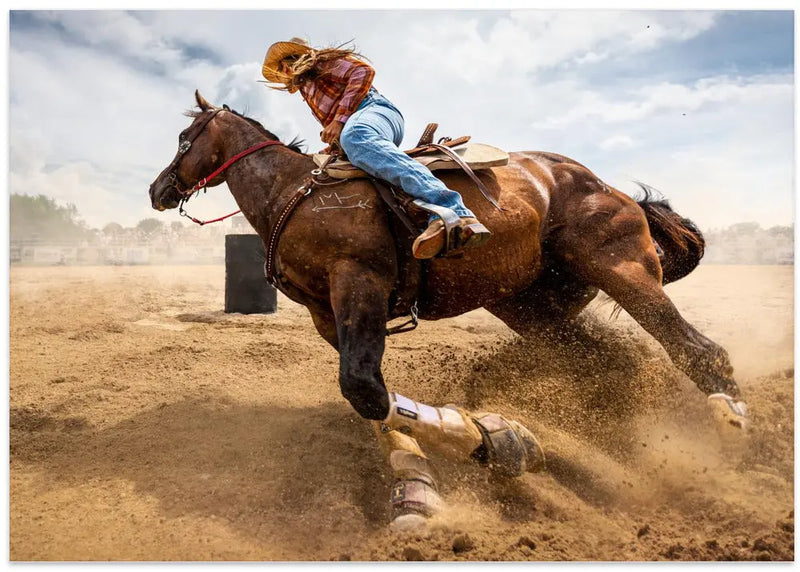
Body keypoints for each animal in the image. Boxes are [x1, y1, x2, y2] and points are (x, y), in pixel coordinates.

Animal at [148, 90, 747, 528]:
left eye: (183, 138)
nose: (157, 188)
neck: (294, 193)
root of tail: (608, 187)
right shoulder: (327, 316)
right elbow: (370, 396)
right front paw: (422, 486)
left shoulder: (359, 284)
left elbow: (362, 387)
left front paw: (499, 442)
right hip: (533, 310)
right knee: (614, 366)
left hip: (622, 270)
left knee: (697, 349)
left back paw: (732, 435)